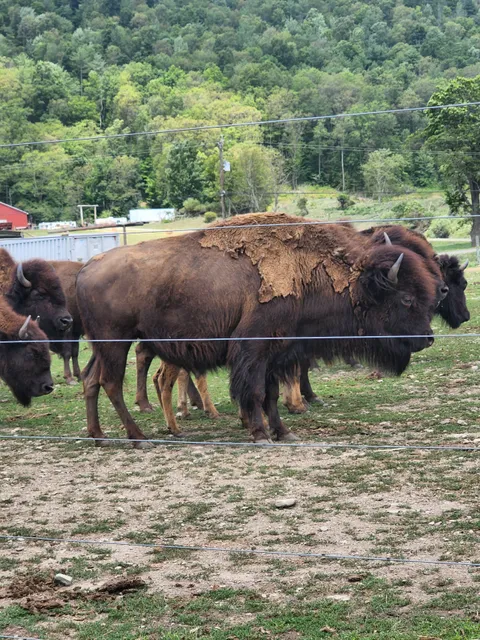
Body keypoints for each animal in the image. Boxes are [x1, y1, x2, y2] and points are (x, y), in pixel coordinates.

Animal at [77, 213, 437, 446]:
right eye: (406, 298)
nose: (428, 337)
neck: (307, 271)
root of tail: (87, 267)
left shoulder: (277, 352)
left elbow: (271, 394)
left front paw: (284, 432)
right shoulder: (253, 349)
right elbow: (255, 392)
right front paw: (261, 434)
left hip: (102, 345)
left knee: (91, 379)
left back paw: (99, 436)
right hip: (116, 341)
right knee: (111, 383)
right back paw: (138, 438)